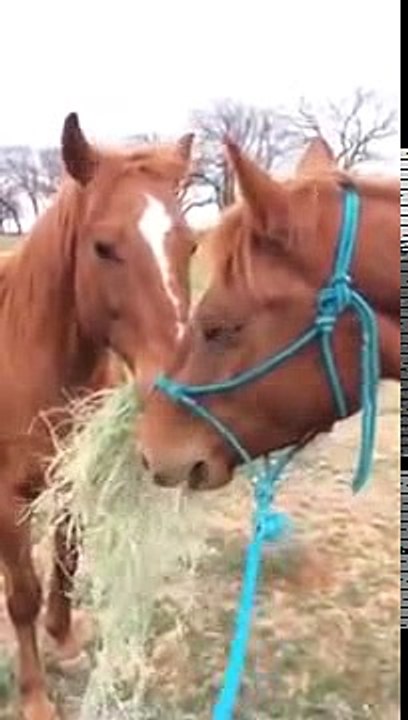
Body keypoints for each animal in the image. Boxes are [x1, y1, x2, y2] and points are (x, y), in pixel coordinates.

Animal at [0, 113, 195, 720]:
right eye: (104, 247)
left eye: (191, 245)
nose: (179, 386)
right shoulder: (7, 498)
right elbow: (22, 594)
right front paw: (35, 696)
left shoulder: (73, 477)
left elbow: (68, 556)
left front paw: (62, 635)